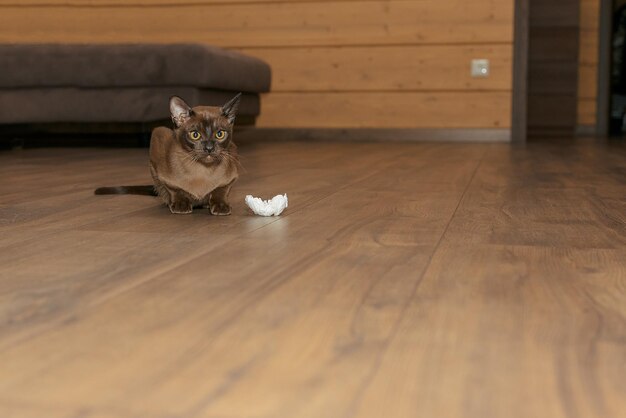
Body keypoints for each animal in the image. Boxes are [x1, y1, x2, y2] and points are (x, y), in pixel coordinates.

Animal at [95, 92, 241, 214]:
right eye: (195, 135)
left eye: (220, 134)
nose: (209, 148)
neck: (202, 170)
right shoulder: (161, 171)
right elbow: (175, 189)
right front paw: (181, 205)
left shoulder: (232, 175)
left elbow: (221, 190)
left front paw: (220, 206)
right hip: (160, 132)